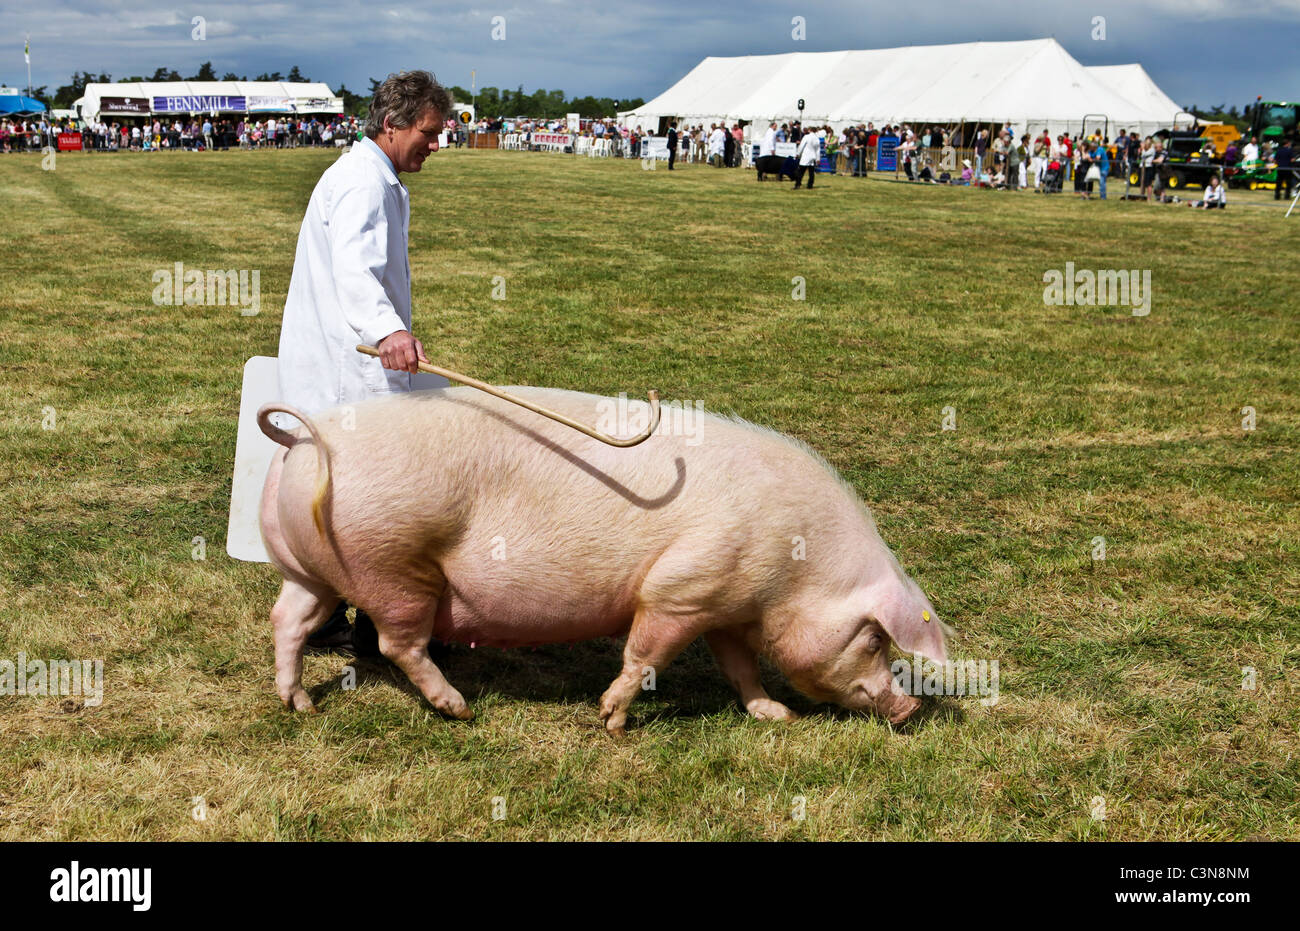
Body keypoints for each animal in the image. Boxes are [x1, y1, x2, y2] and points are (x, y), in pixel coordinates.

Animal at [256, 387, 946, 733]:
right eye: (875, 639)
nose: (912, 708)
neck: (799, 567)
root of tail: (307, 438)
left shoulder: (723, 605)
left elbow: (741, 668)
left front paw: (776, 714)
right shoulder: (681, 588)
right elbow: (645, 654)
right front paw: (612, 723)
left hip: (308, 568)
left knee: (287, 619)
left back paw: (300, 706)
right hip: (394, 565)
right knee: (399, 643)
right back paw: (460, 709)